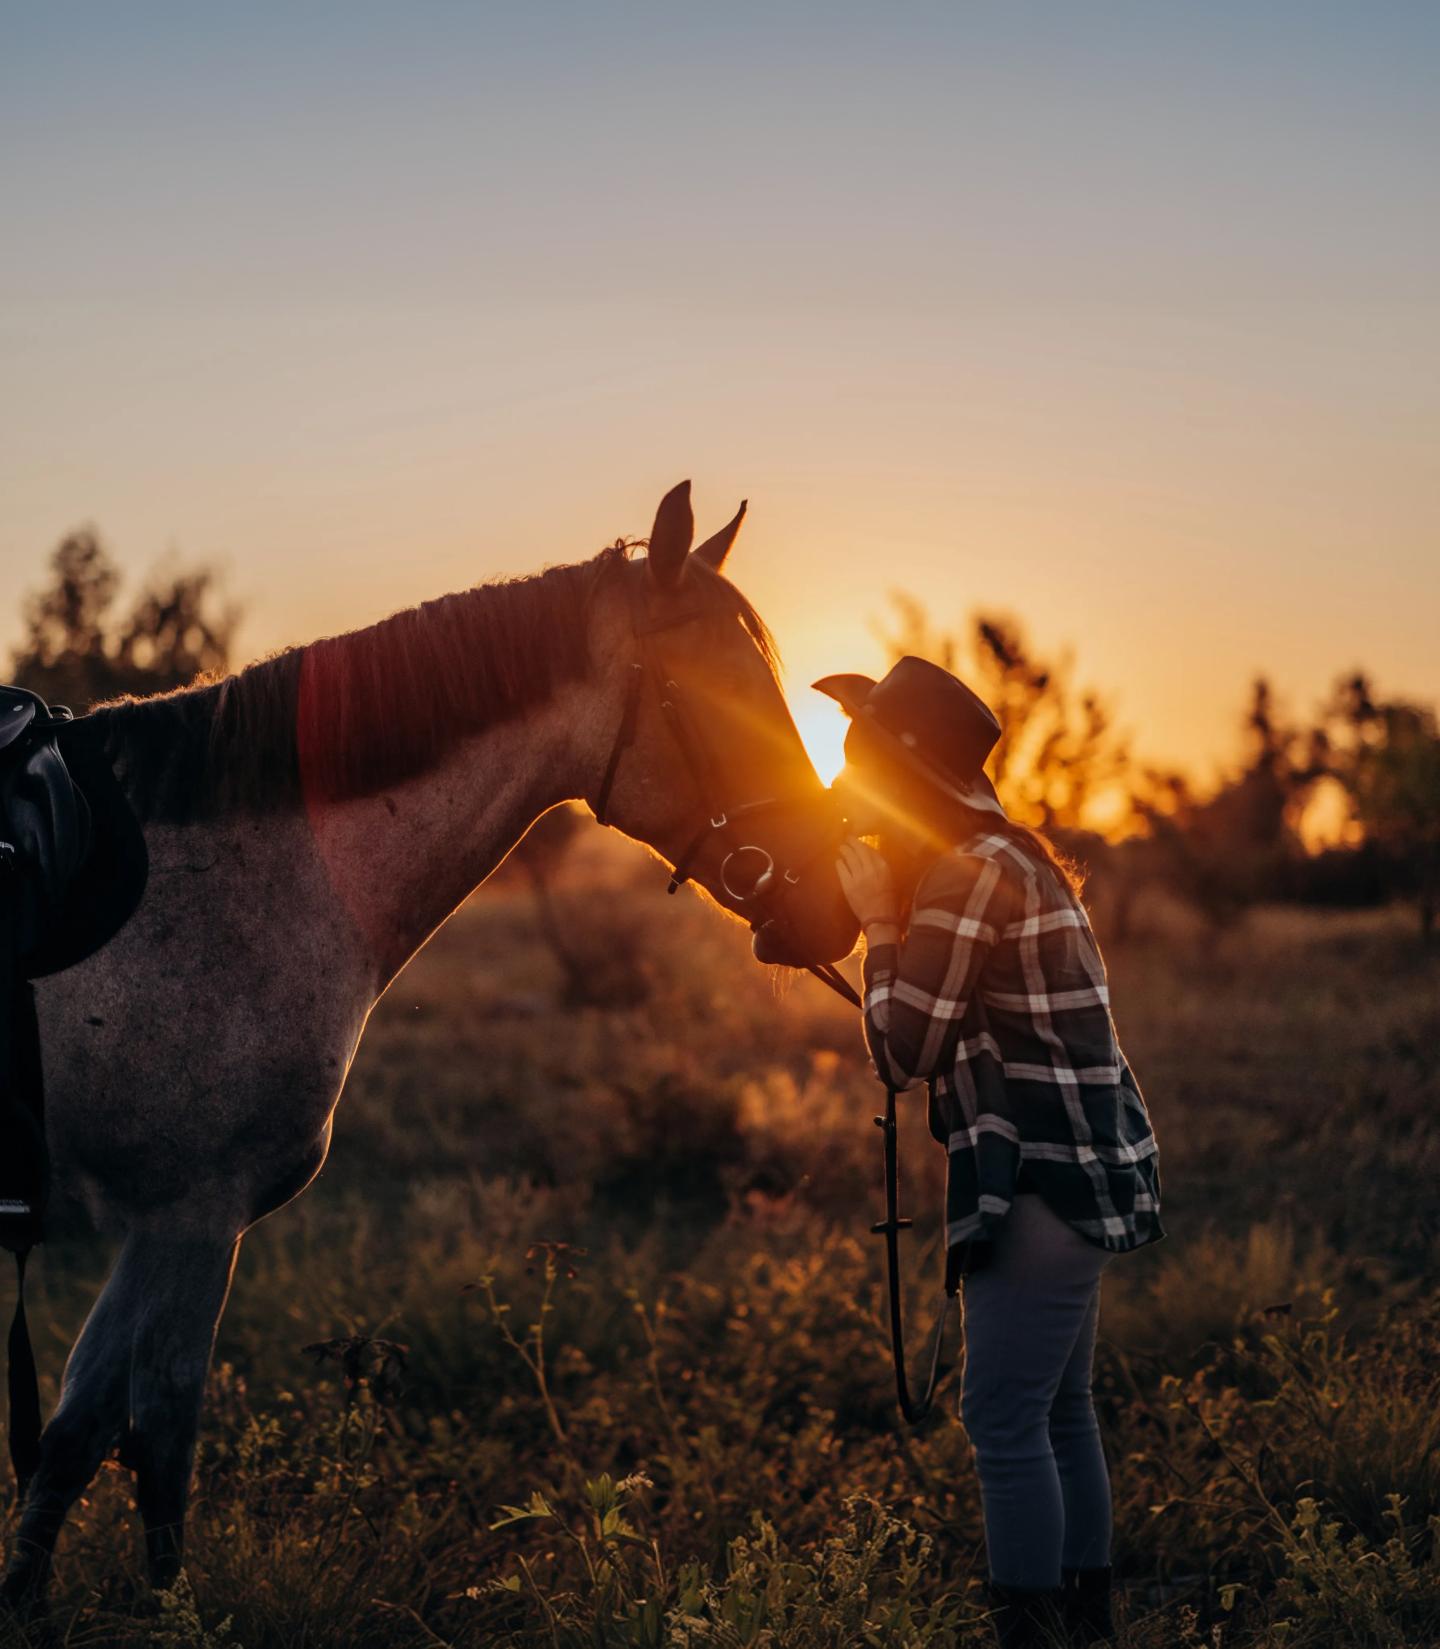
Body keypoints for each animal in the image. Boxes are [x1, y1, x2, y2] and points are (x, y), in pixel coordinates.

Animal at [1, 480, 860, 1609]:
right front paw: (166, 1614)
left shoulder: (152, 1220)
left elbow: (73, 1437)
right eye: (717, 694)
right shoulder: (195, 1214)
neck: (241, 886)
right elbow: (160, 1441)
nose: (832, 909)